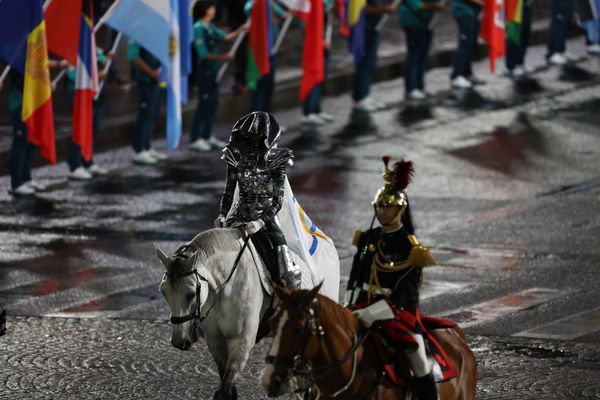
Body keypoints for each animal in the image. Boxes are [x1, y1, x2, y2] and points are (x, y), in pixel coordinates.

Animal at [155, 228, 340, 400]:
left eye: (191, 294)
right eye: (163, 292)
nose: (179, 341)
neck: (226, 287)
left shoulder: (242, 341)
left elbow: (224, 390)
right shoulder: (216, 340)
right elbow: (228, 388)